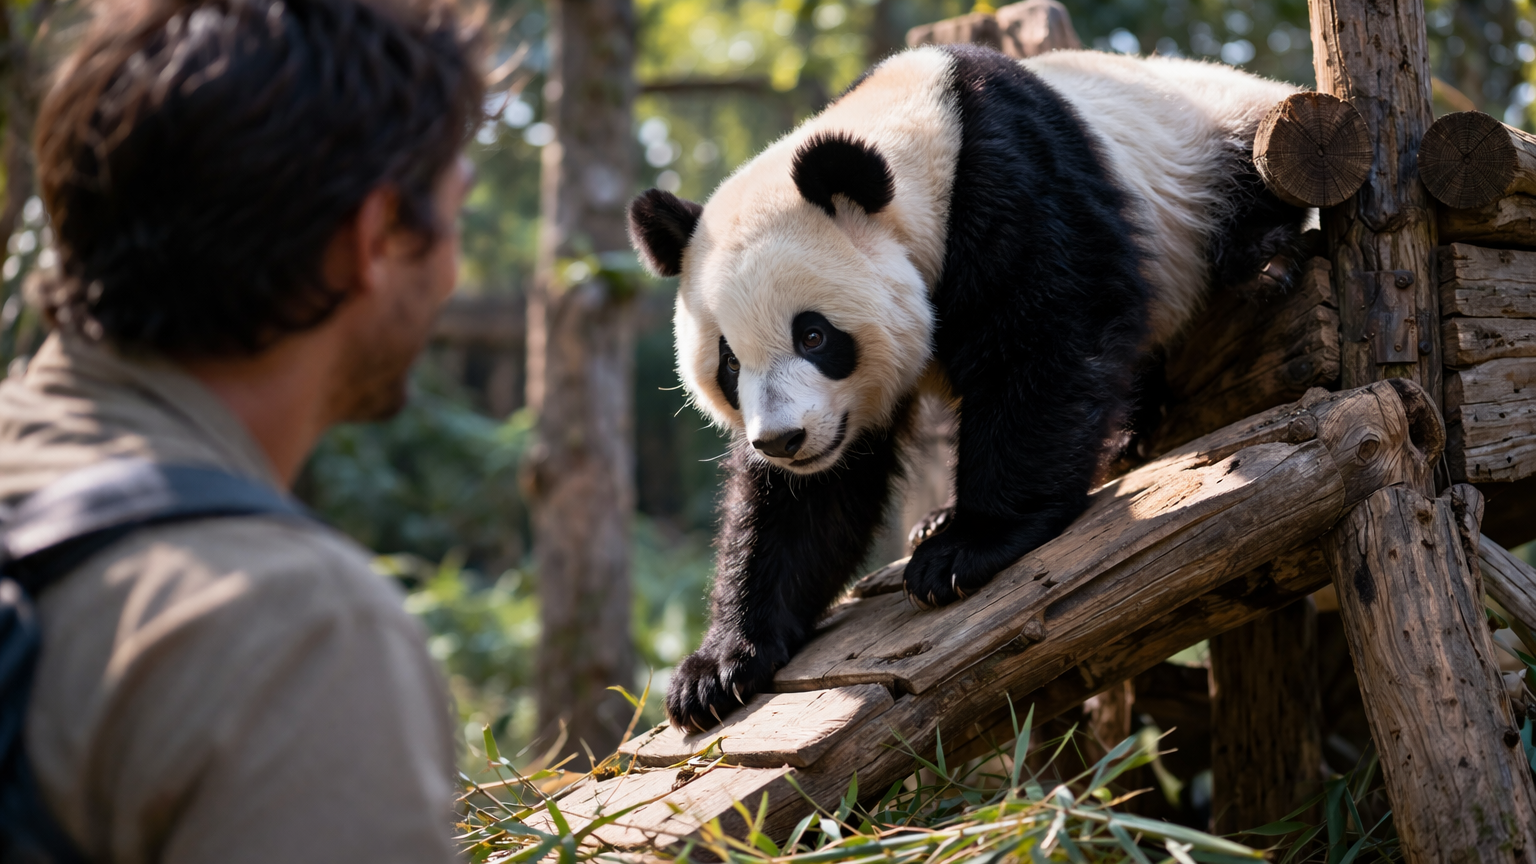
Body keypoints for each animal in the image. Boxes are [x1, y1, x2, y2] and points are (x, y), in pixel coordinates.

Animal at [628, 44, 1309, 733]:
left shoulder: (1018, 182)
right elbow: (804, 504)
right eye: (729, 363)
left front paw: (964, 551)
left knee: (1250, 192)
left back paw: (1264, 265)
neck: (923, 138)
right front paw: (717, 670)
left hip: (1218, 147)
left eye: (813, 336)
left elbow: (1047, 338)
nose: (784, 441)